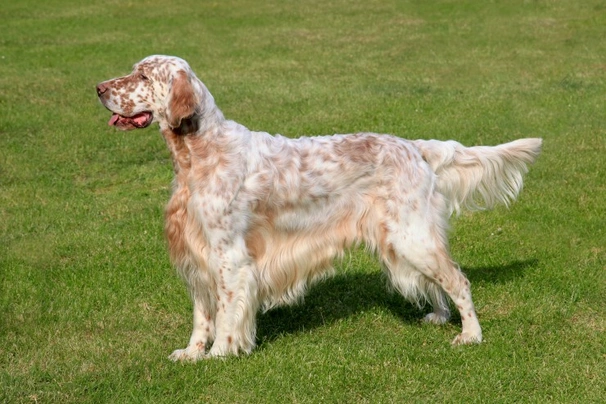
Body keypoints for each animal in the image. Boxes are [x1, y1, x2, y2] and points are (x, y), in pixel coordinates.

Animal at [97, 54, 544, 360]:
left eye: (142, 75)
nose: (98, 88)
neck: (200, 153)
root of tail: (415, 147)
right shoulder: (197, 253)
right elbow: (201, 315)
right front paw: (191, 354)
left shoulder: (228, 257)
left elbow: (225, 314)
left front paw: (219, 354)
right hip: (404, 240)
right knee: (439, 282)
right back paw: (438, 316)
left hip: (411, 235)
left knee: (458, 281)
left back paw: (470, 335)